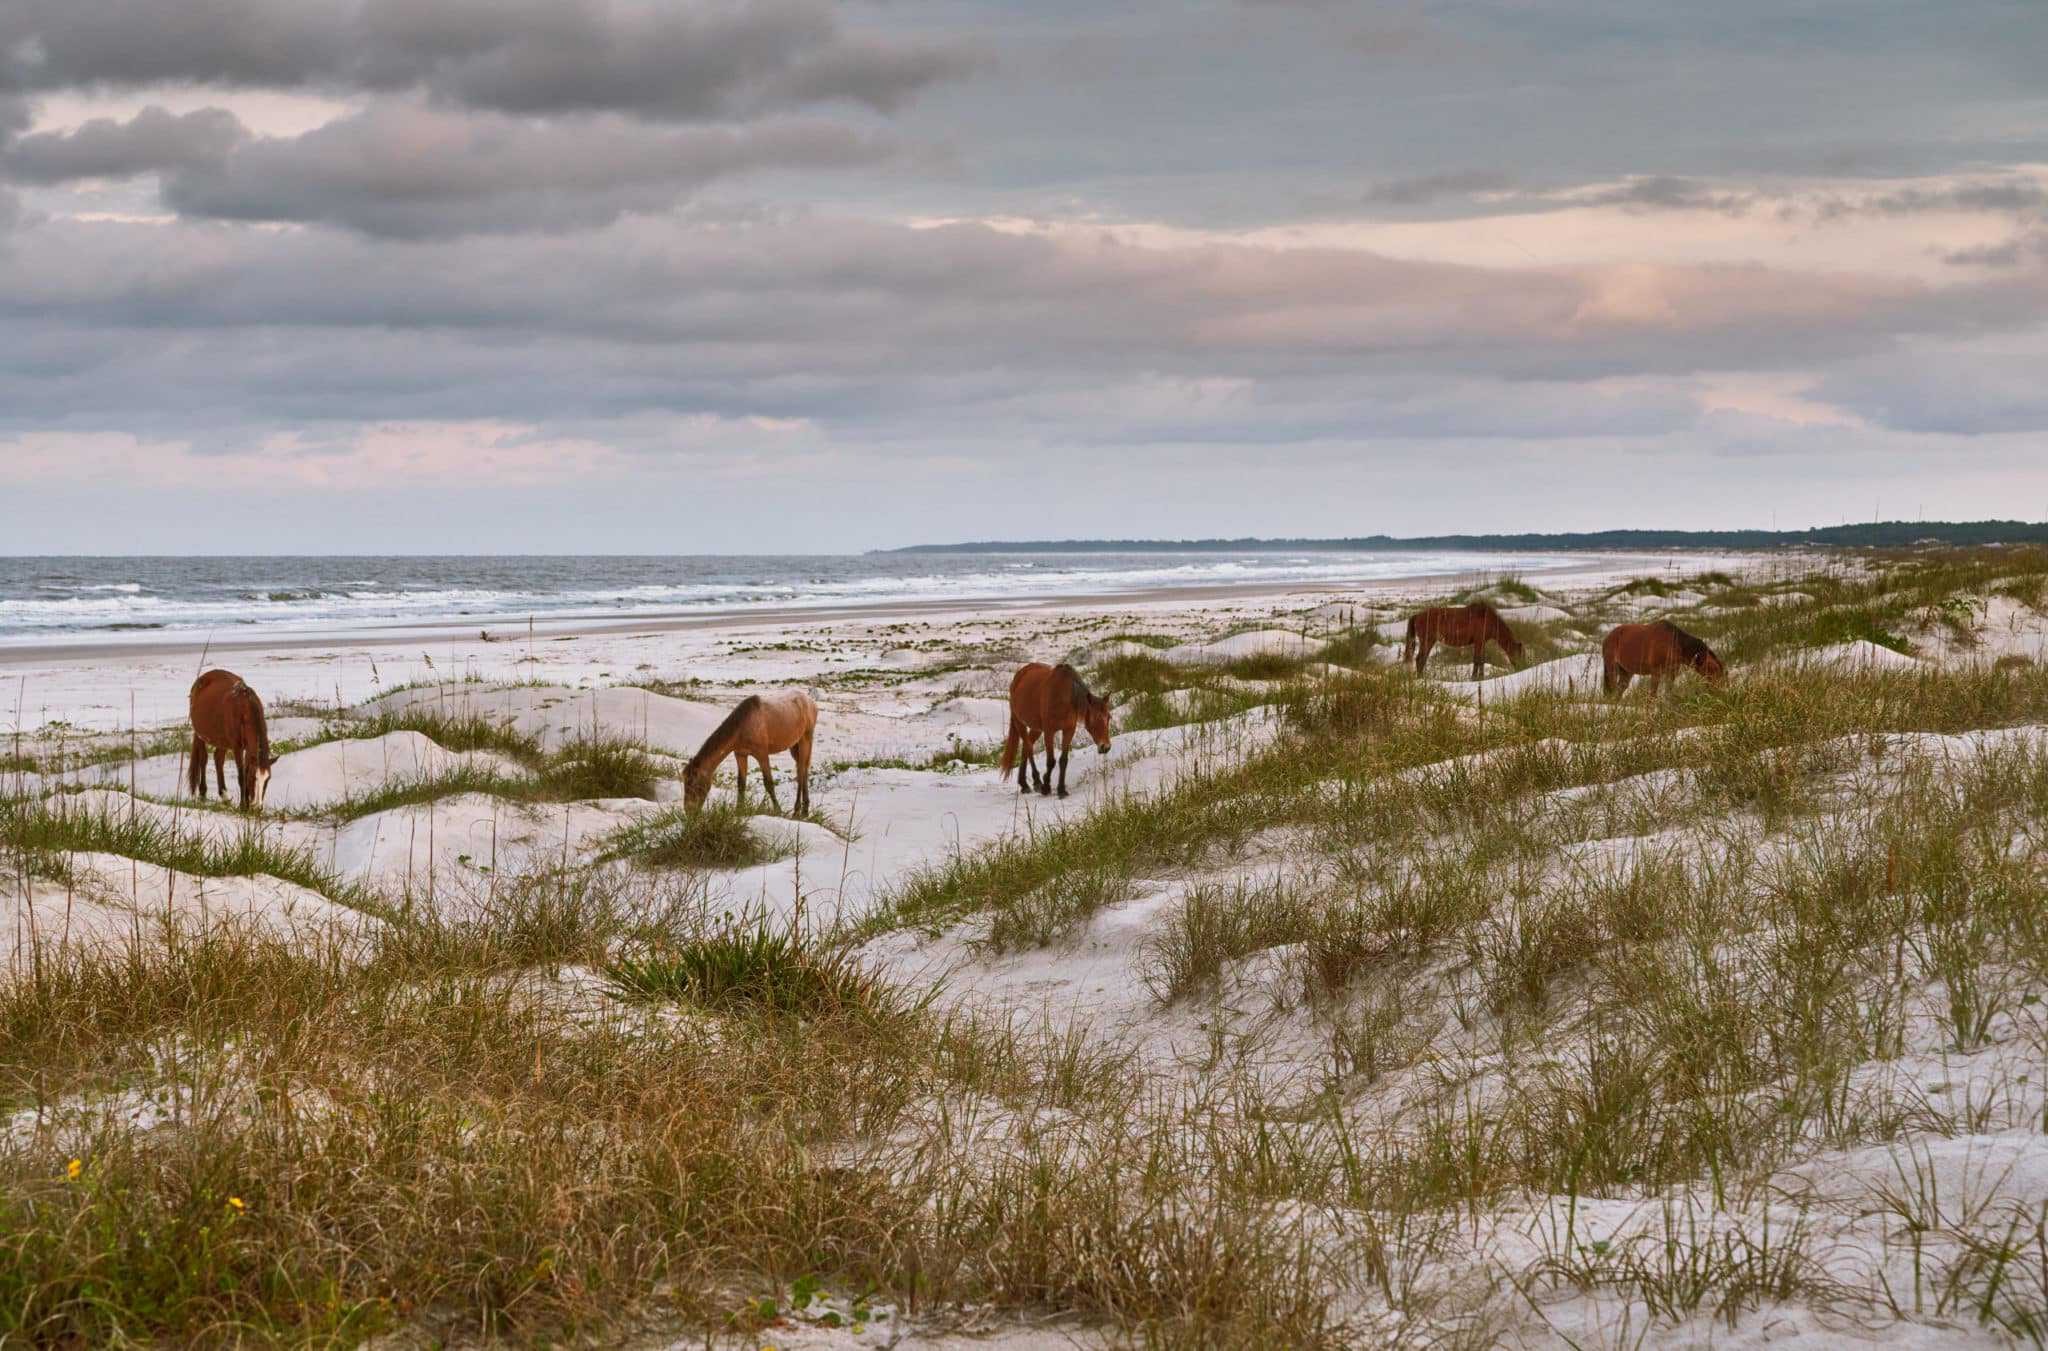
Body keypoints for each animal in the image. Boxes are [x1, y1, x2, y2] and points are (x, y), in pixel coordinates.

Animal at [186, 667, 276, 806]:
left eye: (267, 780)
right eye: (254, 778)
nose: (258, 807)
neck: (245, 710)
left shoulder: (248, 747)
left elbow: (245, 769)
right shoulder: (237, 747)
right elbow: (241, 775)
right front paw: (243, 806)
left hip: (222, 740)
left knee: (218, 759)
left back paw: (224, 795)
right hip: (200, 735)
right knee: (203, 759)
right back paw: (202, 793)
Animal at [999, 663, 1114, 798]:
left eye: (1109, 717)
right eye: (1095, 718)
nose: (1105, 747)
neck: (1063, 697)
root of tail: (1019, 674)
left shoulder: (1068, 730)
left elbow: (1063, 760)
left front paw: (1061, 790)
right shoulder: (1049, 731)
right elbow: (1050, 761)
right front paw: (1046, 787)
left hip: (1036, 728)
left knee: (1026, 748)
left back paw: (1024, 784)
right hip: (1019, 723)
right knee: (1029, 748)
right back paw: (1036, 782)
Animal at [1400, 605, 1531, 679]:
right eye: (1520, 654)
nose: (1522, 667)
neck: (1489, 619)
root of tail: (1417, 615)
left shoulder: (1481, 643)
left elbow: (1480, 659)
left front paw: (1478, 676)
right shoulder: (1479, 641)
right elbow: (1478, 659)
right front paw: (1476, 677)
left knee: (1422, 659)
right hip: (1427, 641)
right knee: (1420, 659)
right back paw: (1421, 678)